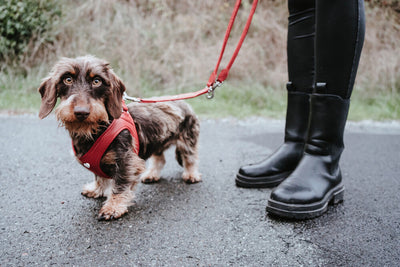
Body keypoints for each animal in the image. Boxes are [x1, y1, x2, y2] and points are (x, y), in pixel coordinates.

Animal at [39, 55, 202, 221]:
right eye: (67, 79)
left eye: (97, 81)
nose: (81, 112)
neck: (96, 129)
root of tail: (185, 103)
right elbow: (99, 177)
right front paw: (96, 189)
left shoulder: (127, 162)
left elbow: (120, 185)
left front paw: (113, 207)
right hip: (157, 141)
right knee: (160, 160)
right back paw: (152, 174)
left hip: (187, 141)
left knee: (190, 159)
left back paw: (191, 175)